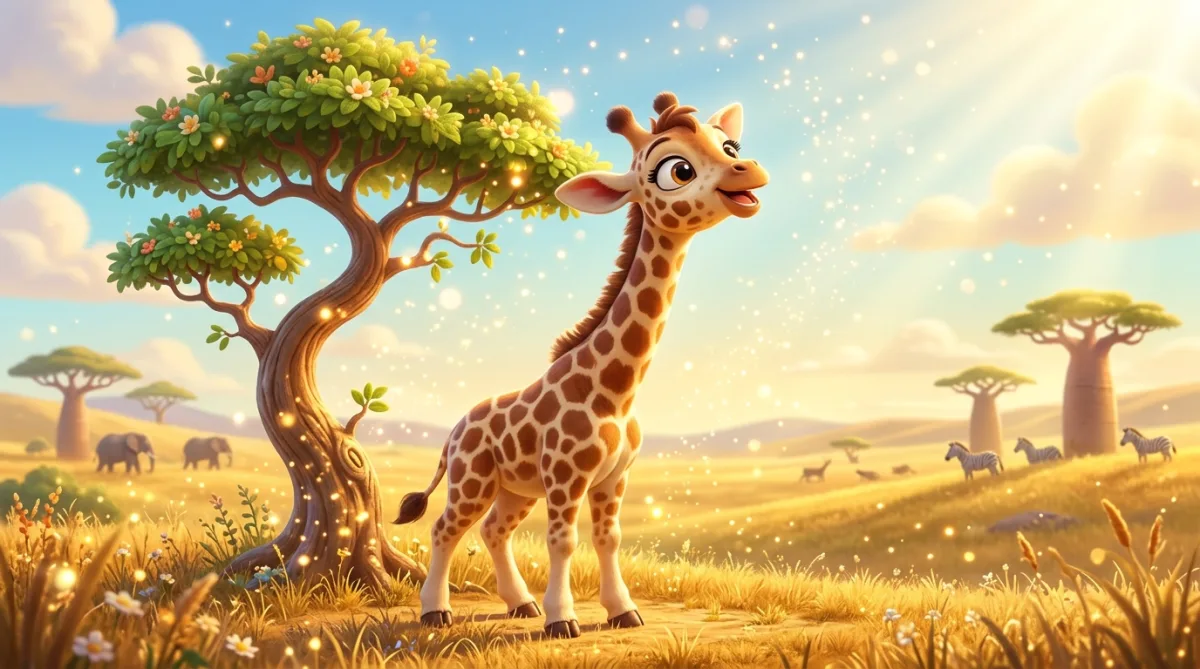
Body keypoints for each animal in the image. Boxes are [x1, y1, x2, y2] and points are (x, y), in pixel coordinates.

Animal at [394, 91, 769, 639]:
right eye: (675, 170)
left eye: (729, 146)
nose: (750, 171)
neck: (616, 389)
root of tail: (453, 433)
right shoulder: (567, 475)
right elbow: (563, 541)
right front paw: (563, 620)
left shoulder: (614, 478)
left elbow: (608, 539)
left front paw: (622, 612)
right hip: (473, 478)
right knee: (446, 527)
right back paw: (436, 611)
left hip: (516, 488)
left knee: (494, 529)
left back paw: (521, 604)